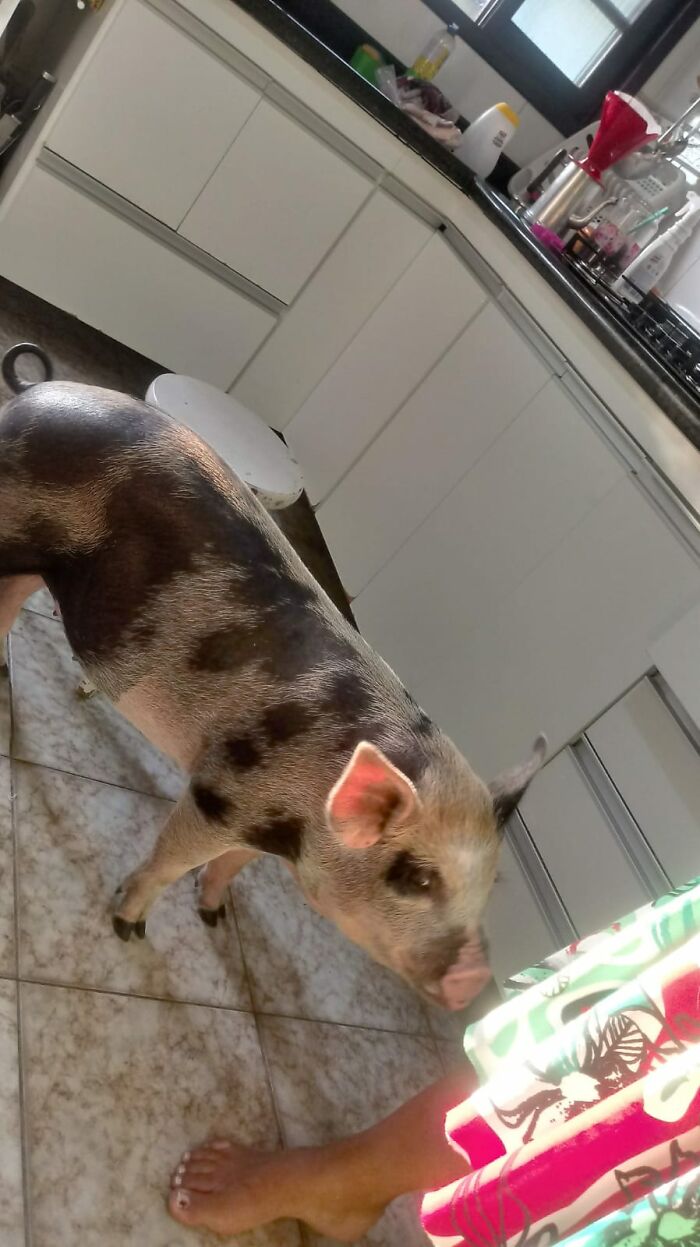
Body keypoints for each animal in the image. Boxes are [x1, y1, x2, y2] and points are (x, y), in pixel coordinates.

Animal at [0, 344, 546, 1010]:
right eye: (416, 877)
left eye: (489, 885)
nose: (474, 981)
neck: (305, 816)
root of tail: (36, 392)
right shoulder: (220, 793)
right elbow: (172, 860)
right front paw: (129, 929)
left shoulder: (259, 825)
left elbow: (232, 867)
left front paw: (212, 917)